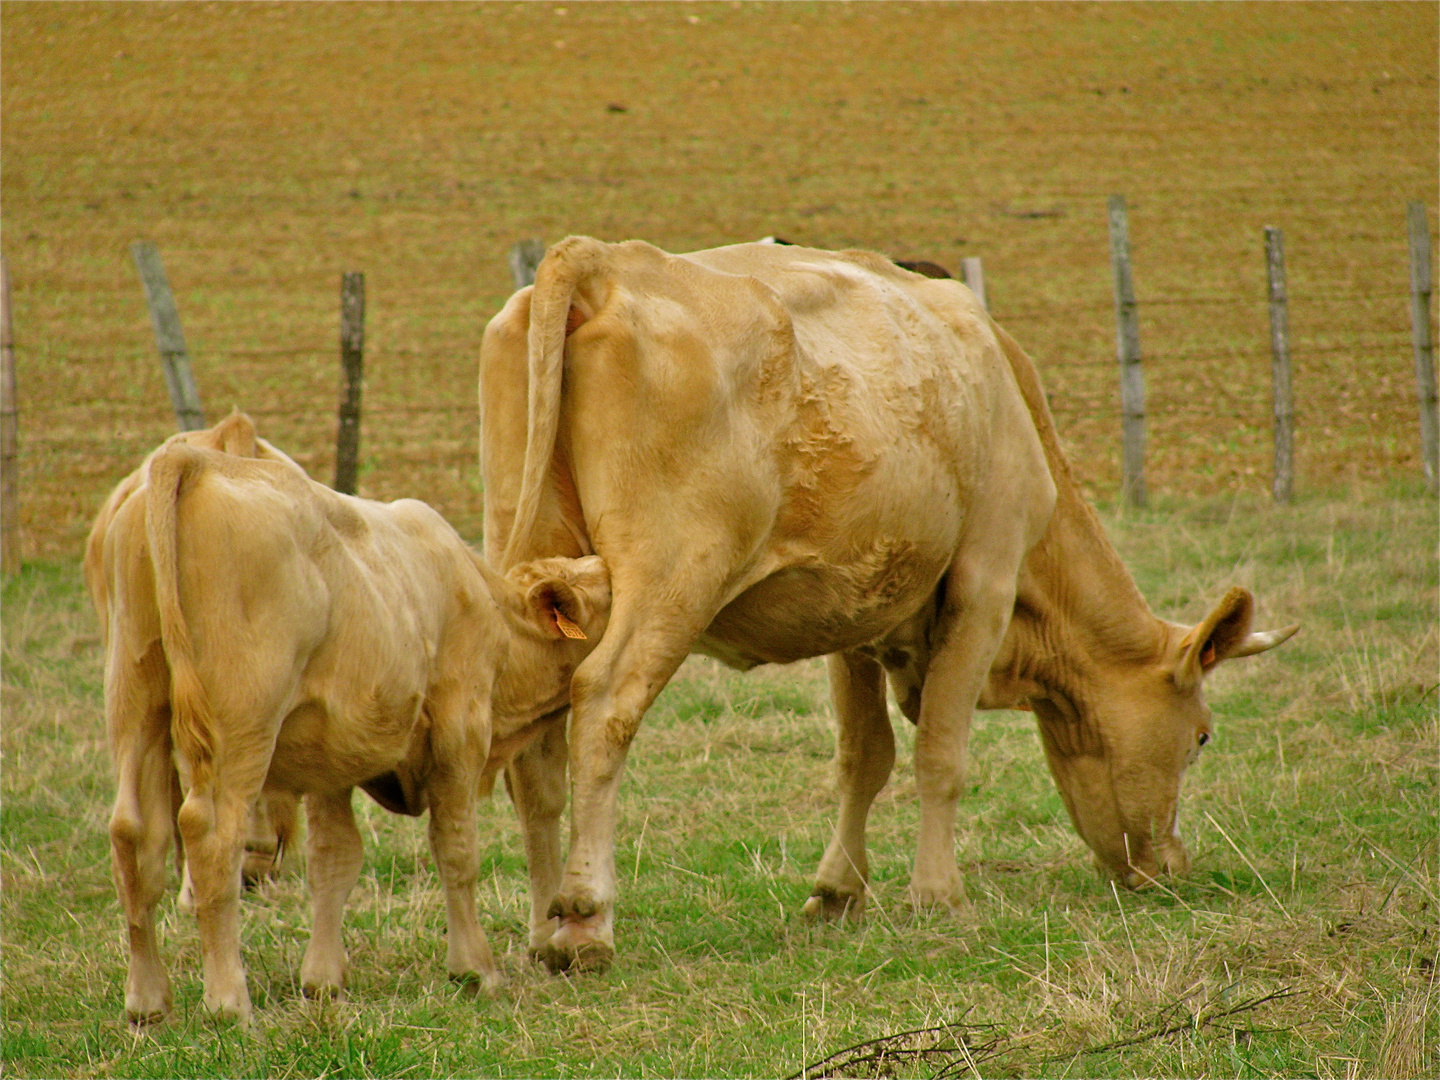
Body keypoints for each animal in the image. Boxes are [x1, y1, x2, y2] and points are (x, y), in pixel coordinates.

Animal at [90, 417, 607, 1031]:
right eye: (605, 593)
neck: (488, 608)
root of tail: (198, 461)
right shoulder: (461, 729)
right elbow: (457, 849)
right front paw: (475, 968)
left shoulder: (329, 755)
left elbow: (335, 859)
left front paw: (323, 979)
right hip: (241, 726)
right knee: (212, 836)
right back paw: (228, 1002)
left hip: (137, 703)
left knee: (135, 836)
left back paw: (147, 1000)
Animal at [478, 240, 1301, 979]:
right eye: (1201, 738)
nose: (1170, 866)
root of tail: (609, 259)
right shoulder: (985, 581)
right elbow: (941, 751)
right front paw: (938, 895)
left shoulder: (855, 608)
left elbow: (863, 757)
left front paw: (839, 892)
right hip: (675, 570)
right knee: (605, 705)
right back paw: (585, 920)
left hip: (535, 565)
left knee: (538, 754)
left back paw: (542, 925)